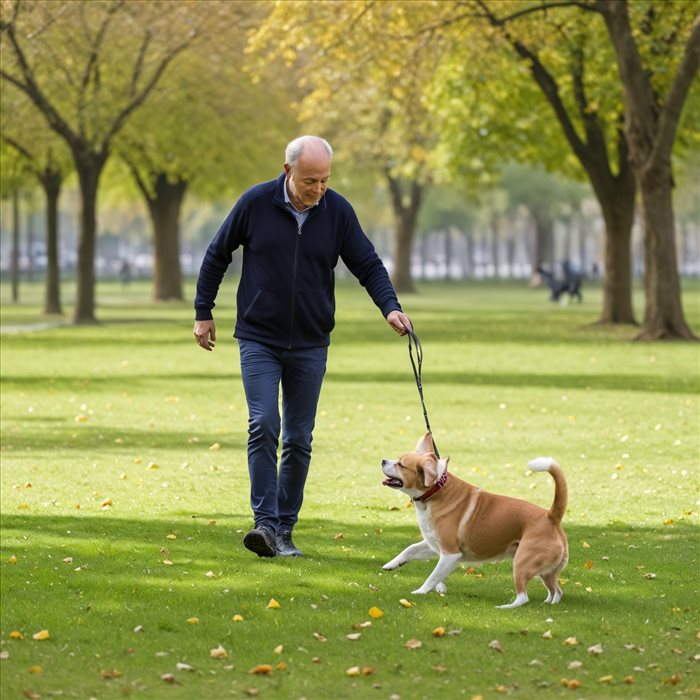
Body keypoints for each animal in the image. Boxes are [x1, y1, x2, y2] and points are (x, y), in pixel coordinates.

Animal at [382, 432, 568, 608]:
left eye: (401, 464)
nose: (383, 460)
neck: (436, 490)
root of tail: (551, 516)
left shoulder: (450, 553)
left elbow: (433, 576)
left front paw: (420, 592)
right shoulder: (436, 546)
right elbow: (410, 549)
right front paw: (392, 564)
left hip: (521, 563)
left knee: (523, 597)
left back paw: (505, 607)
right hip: (546, 572)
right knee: (556, 591)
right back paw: (549, 603)